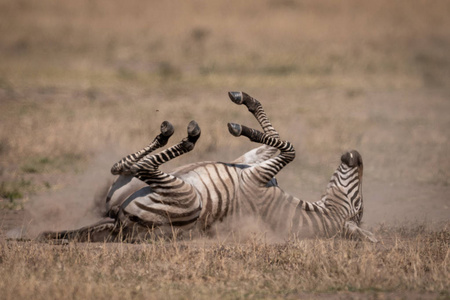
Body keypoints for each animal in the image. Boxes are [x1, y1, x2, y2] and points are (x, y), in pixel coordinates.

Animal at [37, 92, 376, 244]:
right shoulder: (256, 165)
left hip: (187, 199)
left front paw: (241, 124)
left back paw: (183, 137)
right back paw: (170, 136)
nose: (357, 154)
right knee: (122, 166)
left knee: (141, 165)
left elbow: (289, 148)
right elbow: (278, 141)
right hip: (128, 187)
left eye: (358, 206)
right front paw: (247, 108)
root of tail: (119, 226)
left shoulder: (257, 176)